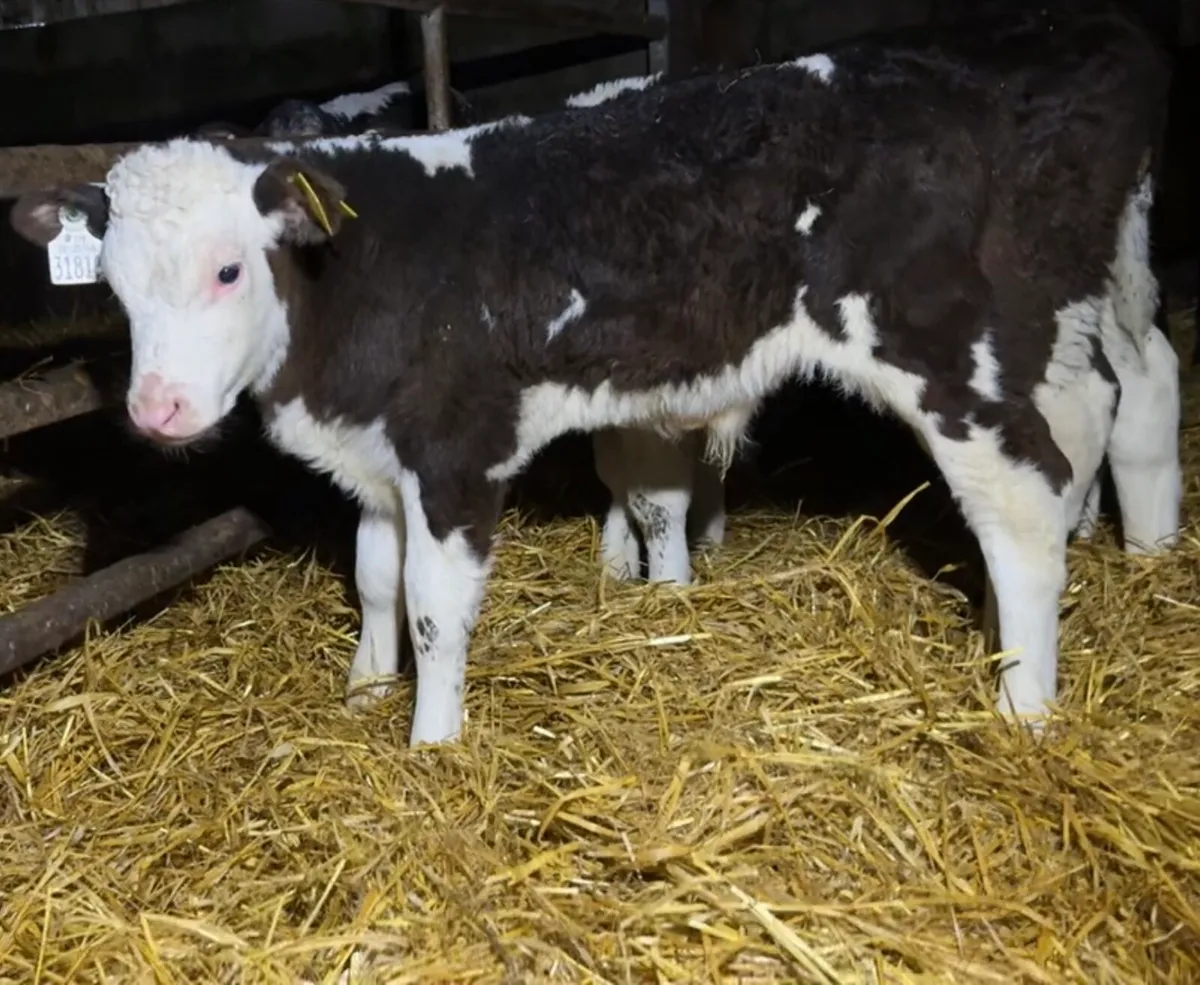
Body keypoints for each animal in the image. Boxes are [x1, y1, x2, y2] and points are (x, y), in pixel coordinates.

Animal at [10, 2, 1181, 749]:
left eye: (227, 268)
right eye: (113, 283)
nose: (157, 409)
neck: (364, 274)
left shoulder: (456, 446)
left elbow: (434, 603)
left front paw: (432, 740)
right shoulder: (381, 455)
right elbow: (376, 574)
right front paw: (364, 689)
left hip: (954, 351)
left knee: (1026, 499)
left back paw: (1025, 704)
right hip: (1054, 317)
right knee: (1103, 406)